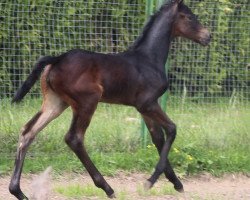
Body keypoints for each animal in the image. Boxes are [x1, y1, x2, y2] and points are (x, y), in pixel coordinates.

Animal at [8, 0, 210, 199]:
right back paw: (107, 188)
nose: (207, 36)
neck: (149, 59)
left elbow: (157, 137)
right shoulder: (148, 103)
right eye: (189, 17)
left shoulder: (144, 109)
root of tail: (57, 59)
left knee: (28, 132)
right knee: (74, 138)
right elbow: (171, 129)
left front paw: (176, 183)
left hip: (56, 103)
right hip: (88, 102)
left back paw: (18, 191)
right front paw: (150, 182)